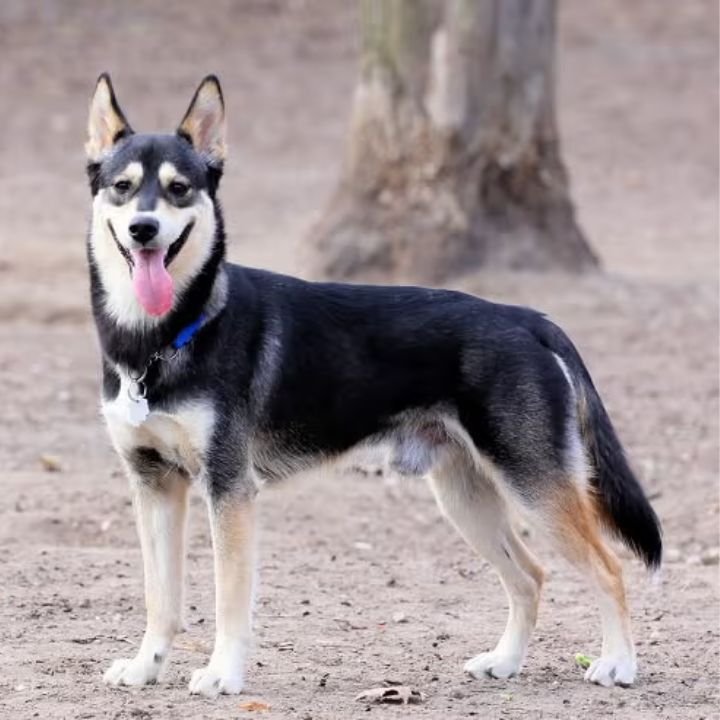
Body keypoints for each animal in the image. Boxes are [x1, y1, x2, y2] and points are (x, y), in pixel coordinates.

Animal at [86, 74, 664, 696]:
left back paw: (618, 664)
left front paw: (222, 673)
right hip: (466, 497)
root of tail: (527, 318)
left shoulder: (229, 489)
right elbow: (160, 598)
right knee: (531, 576)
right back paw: (505, 661)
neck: (164, 337)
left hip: (535, 488)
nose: (144, 229)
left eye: (179, 189)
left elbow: (229, 599)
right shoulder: (153, 484)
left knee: (608, 568)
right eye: (122, 187)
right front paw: (145, 667)